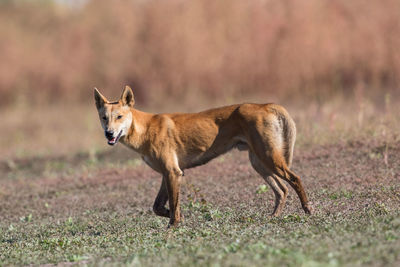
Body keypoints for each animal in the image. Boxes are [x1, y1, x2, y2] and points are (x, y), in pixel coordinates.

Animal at [94, 86, 312, 228]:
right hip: (259, 163)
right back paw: (273, 217)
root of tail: (266, 105)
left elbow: (173, 206)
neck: (145, 129)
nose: (109, 134)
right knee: (282, 190)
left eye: (119, 117)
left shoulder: (173, 172)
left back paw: (307, 209)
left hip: (269, 159)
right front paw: (176, 217)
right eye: (104, 118)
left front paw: (173, 228)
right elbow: (158, 207)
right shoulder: (168, 173)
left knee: (295, 179)